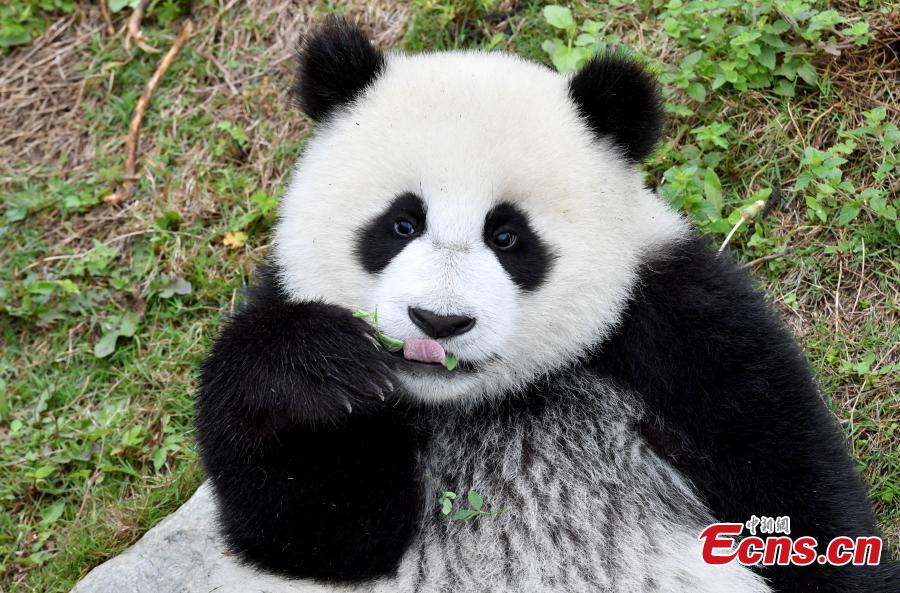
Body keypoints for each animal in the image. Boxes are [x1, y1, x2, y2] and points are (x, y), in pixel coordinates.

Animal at [195, 18, 898, 593]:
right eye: (400, 224)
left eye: (508, 237)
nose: (439, 323)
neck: (476, 401)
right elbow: (322, 530)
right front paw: (315, 367)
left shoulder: (678, 322)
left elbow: (792, 485)